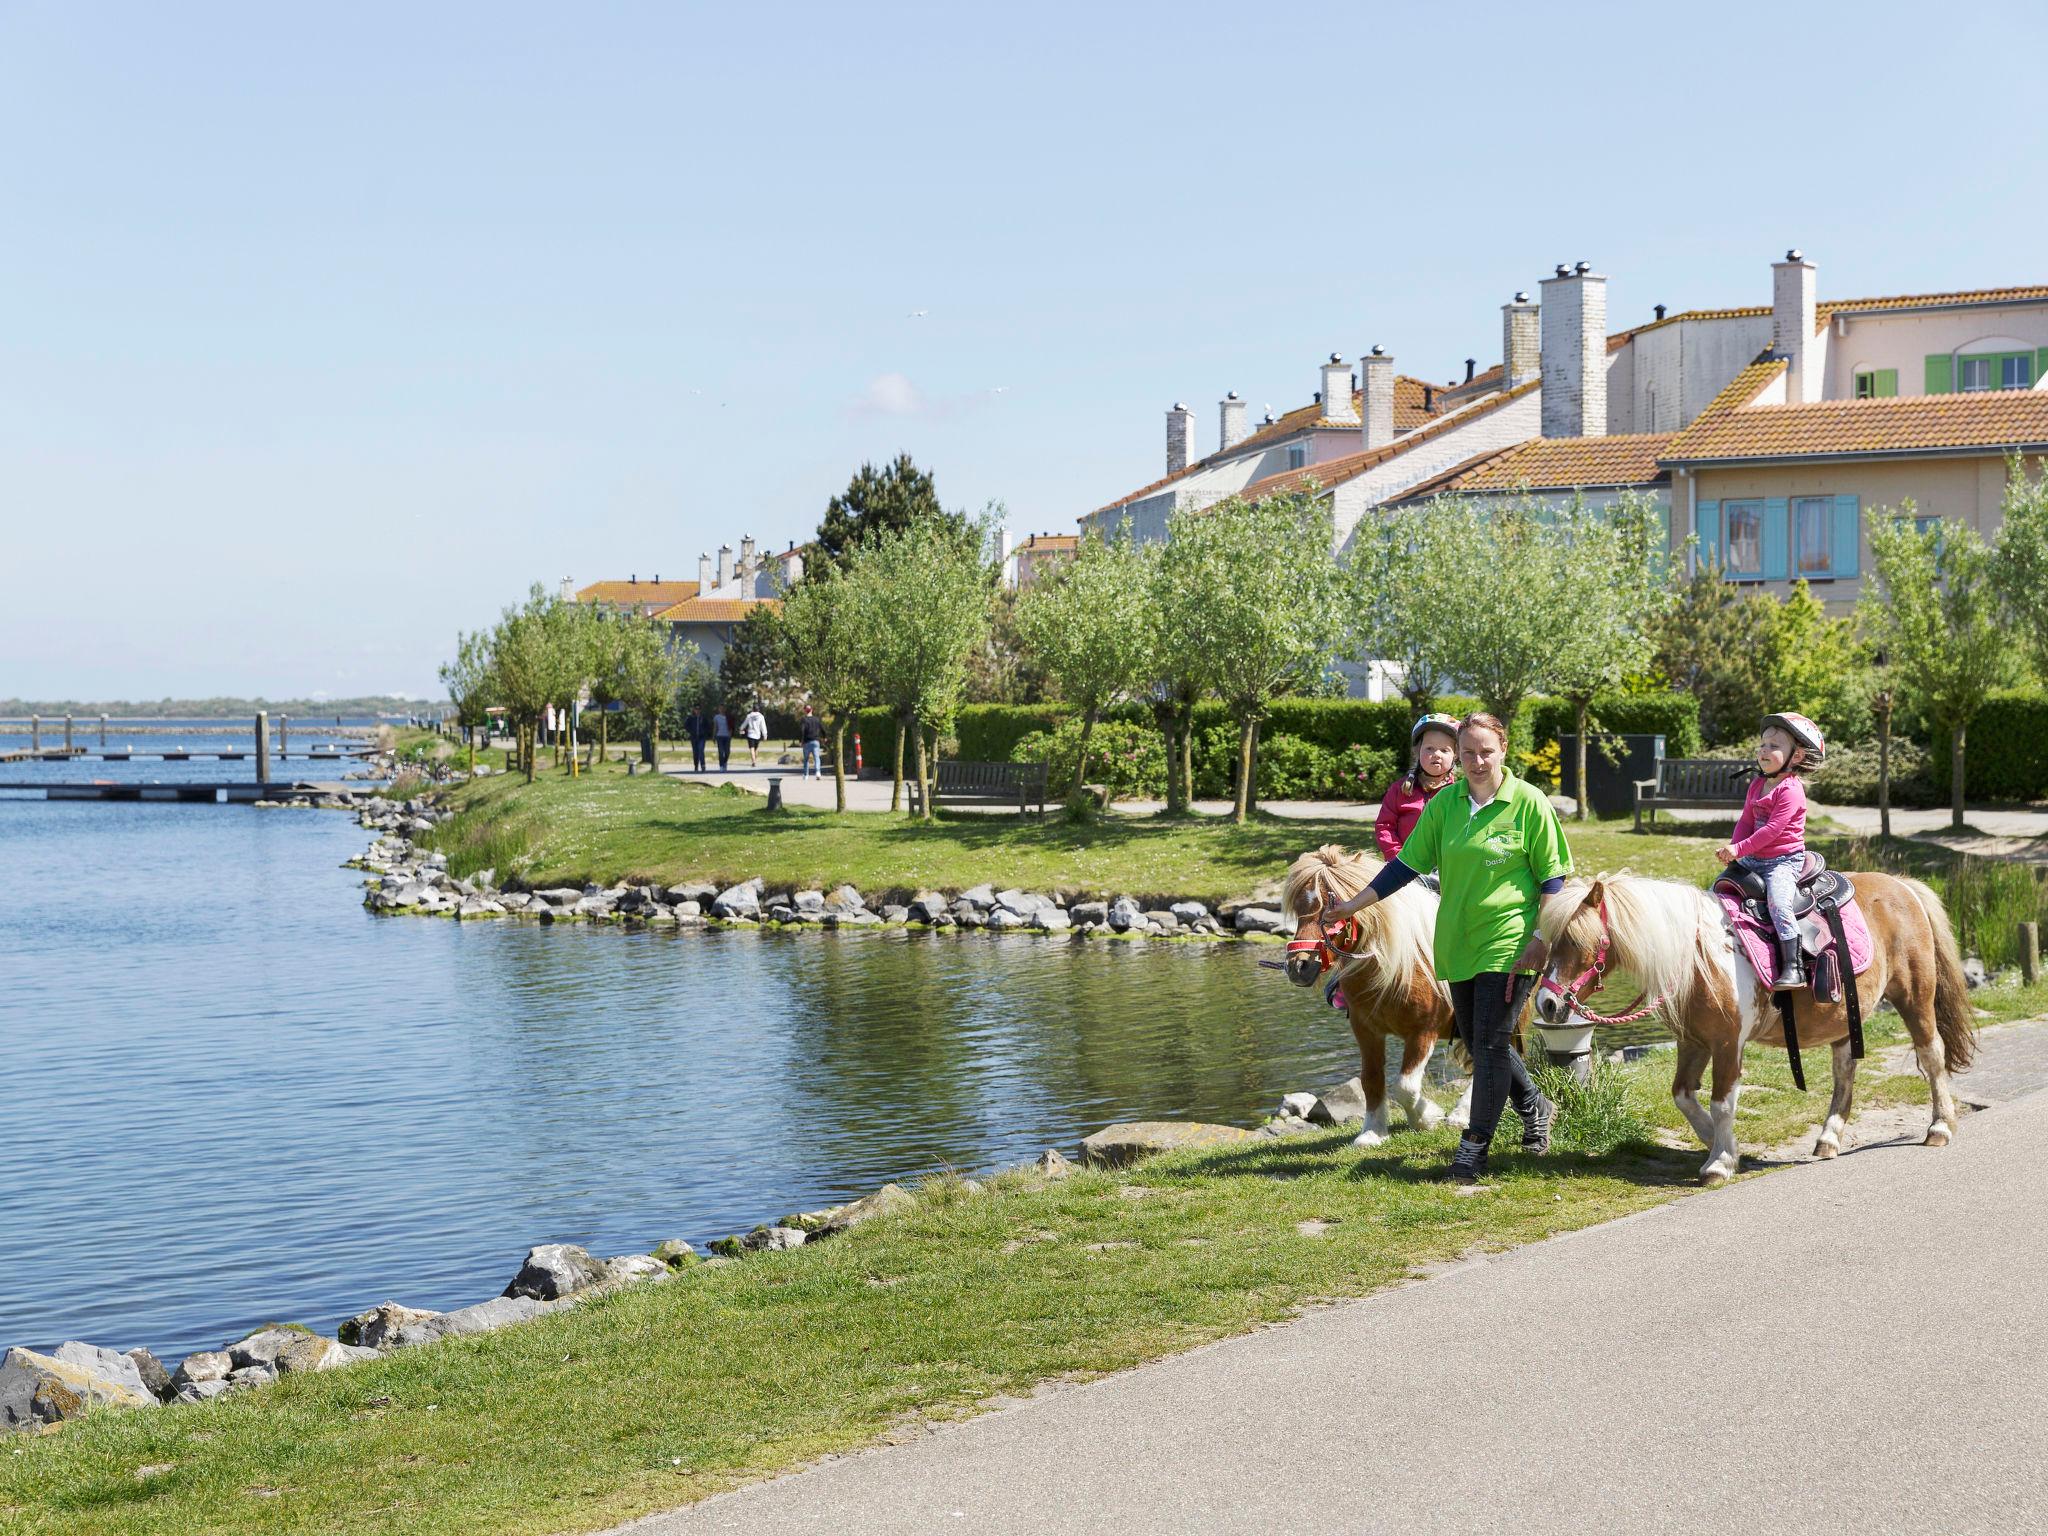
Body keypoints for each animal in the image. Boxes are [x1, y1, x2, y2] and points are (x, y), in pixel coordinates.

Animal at [1277, 847, 1474, 1146]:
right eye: (1299, 910)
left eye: (1330, 909)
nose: (1298, 966)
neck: (1397, 967)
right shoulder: (1365, 1030)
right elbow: (1370, 1079)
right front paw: (1372, 1131)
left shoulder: (1423, 1031)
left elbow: (1405, 1086)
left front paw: (1426, 1117)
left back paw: (1461, 1114)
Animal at [1540, 872, 1974, 1187]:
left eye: (1576, 940)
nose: (1547, 1003)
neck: (1699, 956)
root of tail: (1905, 885)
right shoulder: (1692, 1042)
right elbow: (1683, 1096)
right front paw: (1723, 1147)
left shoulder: (1727, 1043)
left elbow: (1722, 1102)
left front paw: (1719, 1162)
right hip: (1844, 1018)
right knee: (1844, 1073)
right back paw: (1828, 1138)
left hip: (1915, 999)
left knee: (1931, 1056)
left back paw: (1939, 1127)